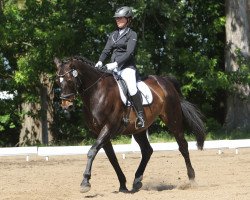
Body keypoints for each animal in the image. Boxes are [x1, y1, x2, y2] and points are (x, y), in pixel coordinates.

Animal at [54, 55, 205, 193]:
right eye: (58, 82)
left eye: (69, 80)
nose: (66, 105)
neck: (96, 93)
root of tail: (165, 80)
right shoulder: (99, 133)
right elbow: (112, 158)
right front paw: (122, 185)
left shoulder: (108, 128)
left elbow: (92, 152)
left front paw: (85, 182)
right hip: (139, 130)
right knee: (147, 150)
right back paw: (137, 181)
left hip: (173, 120)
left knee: (183, 146)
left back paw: (192, 179)